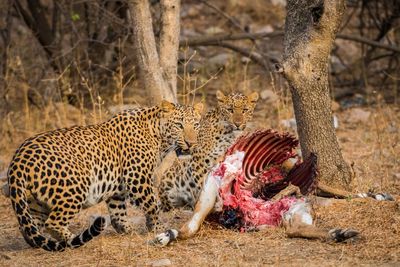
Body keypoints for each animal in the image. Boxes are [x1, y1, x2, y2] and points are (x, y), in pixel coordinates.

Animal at [7, 100, 203, 251]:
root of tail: (18, 159)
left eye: (196, 125)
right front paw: (159, 228)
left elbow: (118, 211)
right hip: (75, 185)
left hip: (35, 202)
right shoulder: (137, 178)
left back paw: (40, 243)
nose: (191, 143)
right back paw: (73, 240)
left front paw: (127, 230)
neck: (158, 137)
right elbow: (152, 205)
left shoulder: (119, 187)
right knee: (53, 222)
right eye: (179, 125)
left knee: (30, 228)